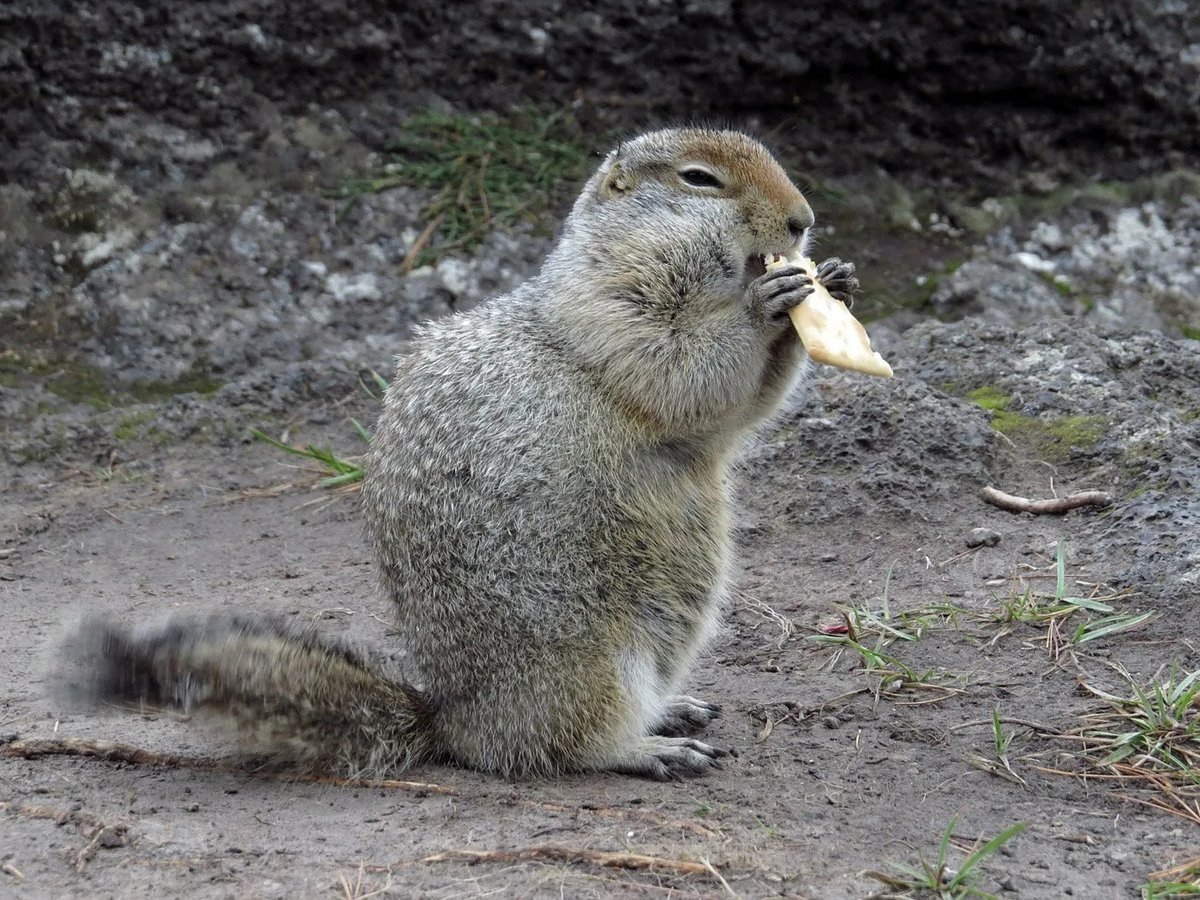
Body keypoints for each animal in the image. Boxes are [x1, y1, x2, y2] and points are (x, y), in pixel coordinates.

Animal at [60, 127, 859, 782]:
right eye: (700, 179)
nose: (803, 221)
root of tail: (453, 720)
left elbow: (738, 411)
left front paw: (834, 281)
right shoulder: (611, 311)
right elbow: (683, 367)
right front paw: (766, 303)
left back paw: (675, 709)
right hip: (590, 661)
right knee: (565, 744)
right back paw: (651, 748)